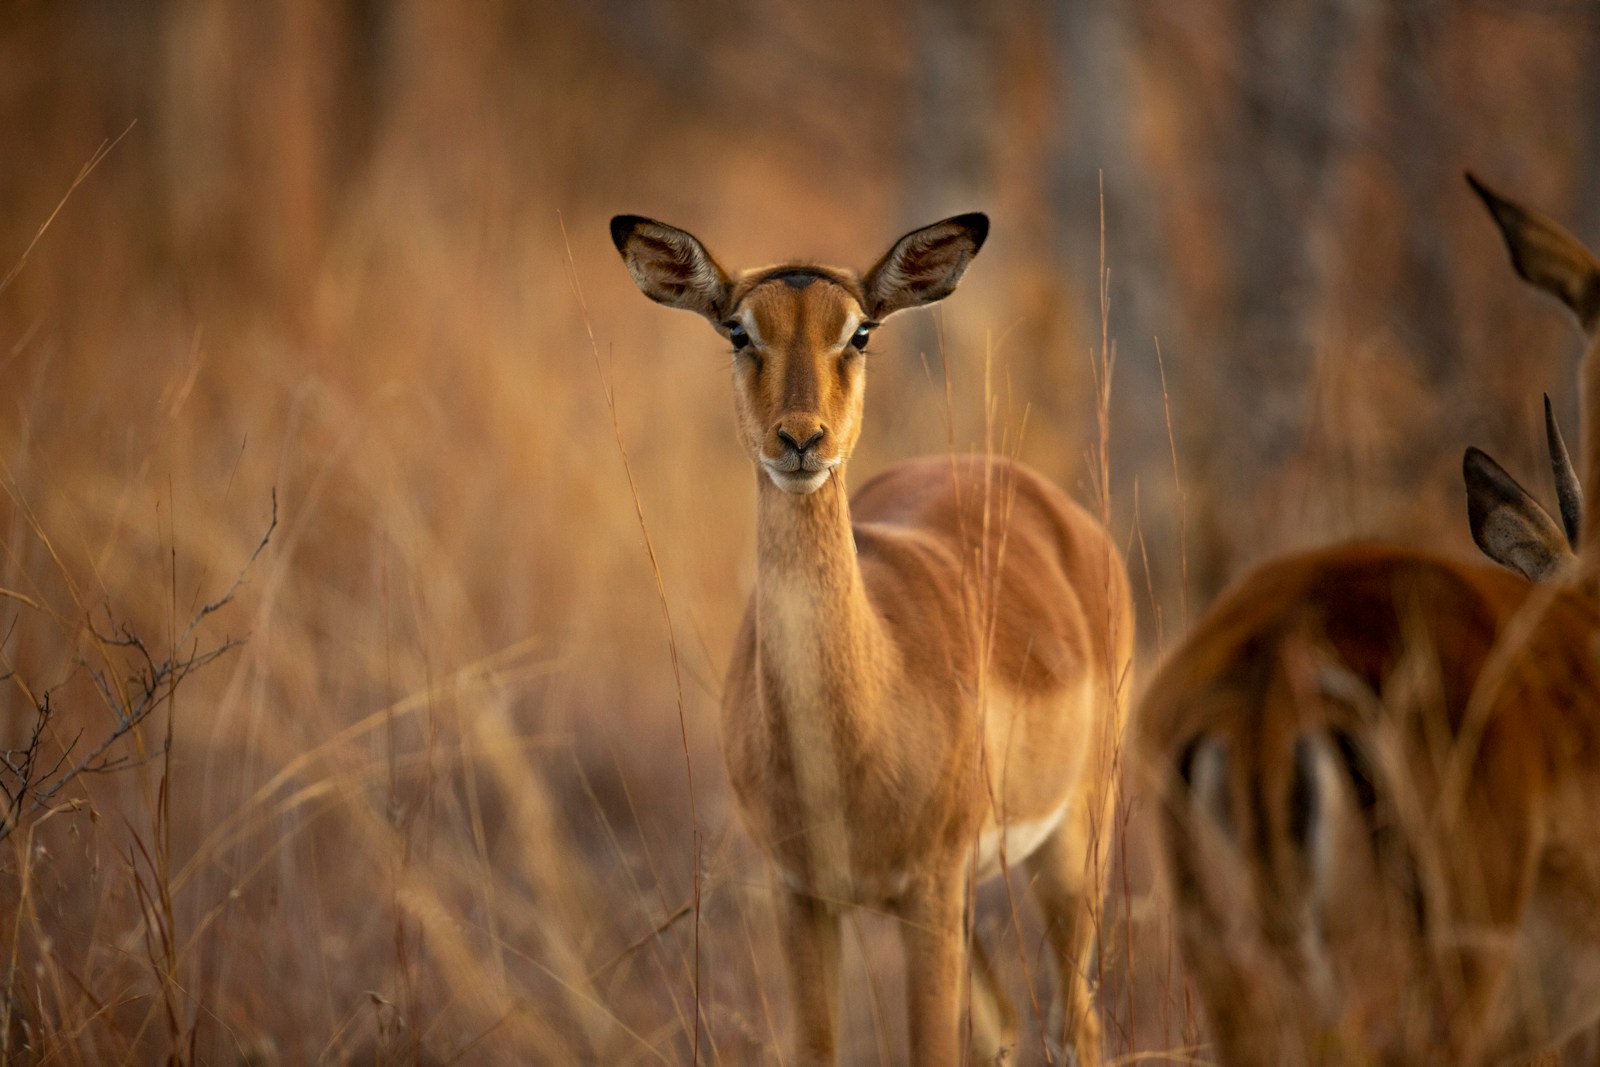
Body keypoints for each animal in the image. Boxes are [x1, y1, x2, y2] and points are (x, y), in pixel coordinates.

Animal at [610, 212, 1134, 1066]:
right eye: (737, 329)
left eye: (859, 331)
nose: (801, 438)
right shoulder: (801, 894)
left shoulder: (928, 889)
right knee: (1004, 1020)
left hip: (1068, 843)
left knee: (1074, 1021)